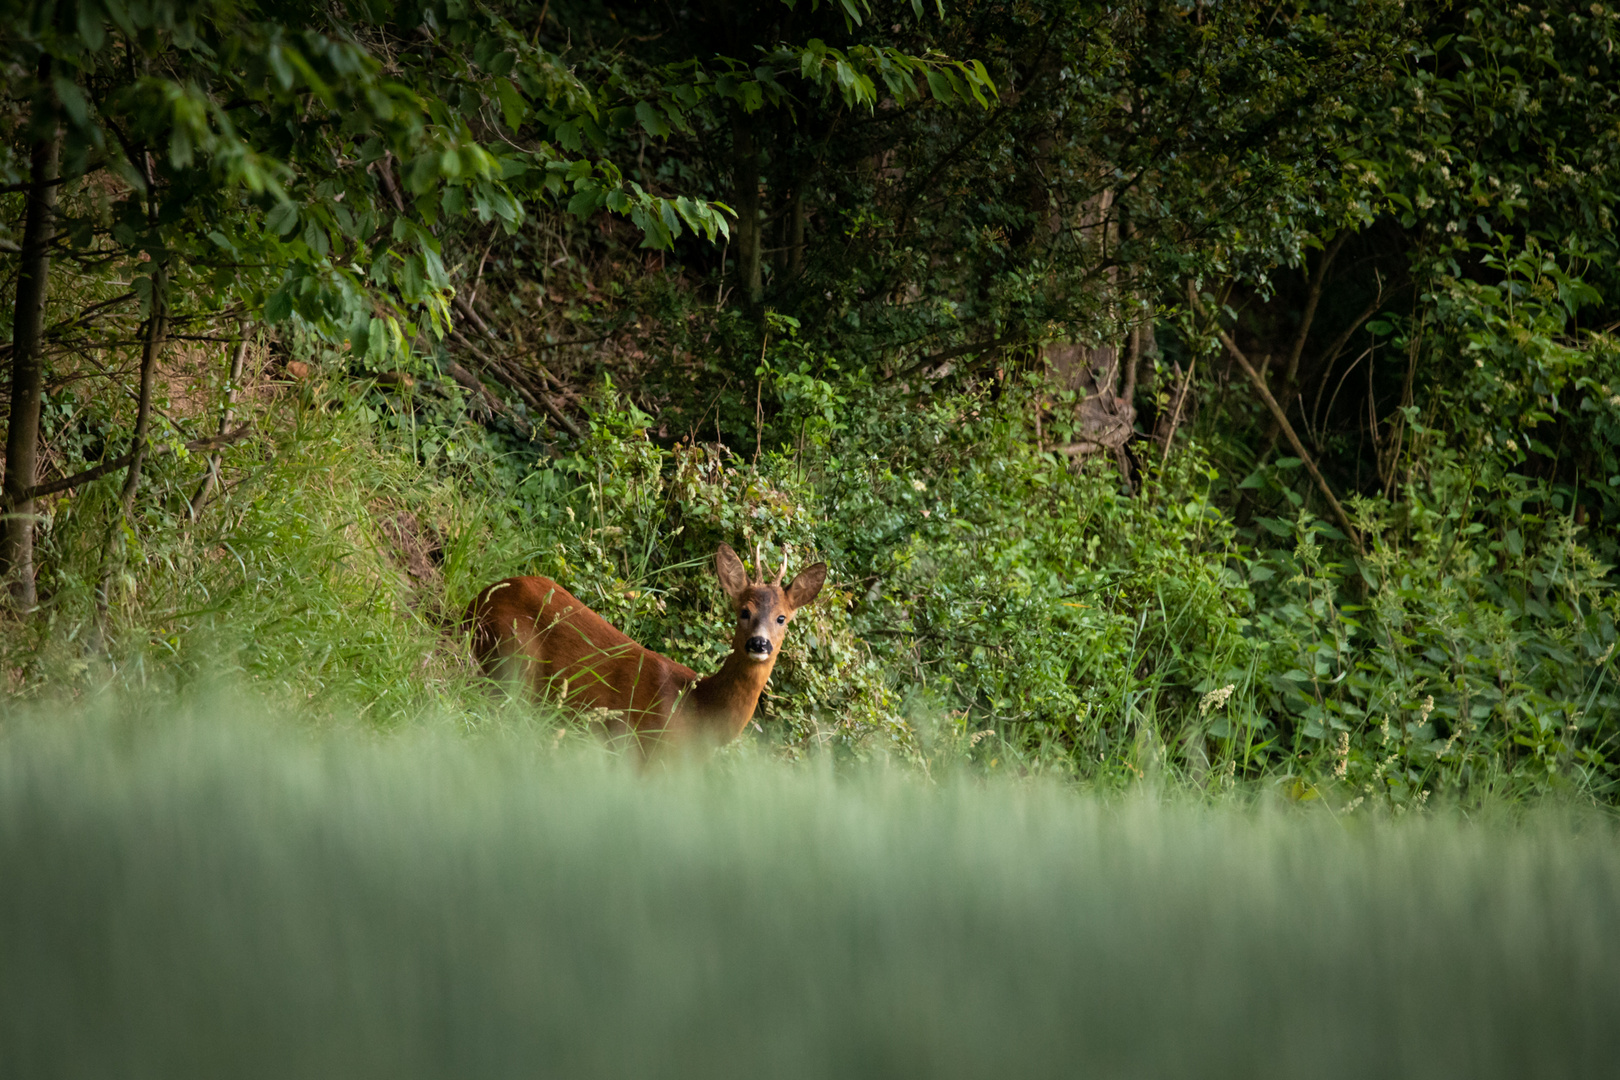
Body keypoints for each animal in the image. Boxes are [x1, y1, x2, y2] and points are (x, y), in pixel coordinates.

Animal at [466, 544, 822, 757]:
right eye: (744, 611)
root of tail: (478, 599)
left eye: (782, 617)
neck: (697, 710)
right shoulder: (642, 752)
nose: (759, 643)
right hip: (512, 662)